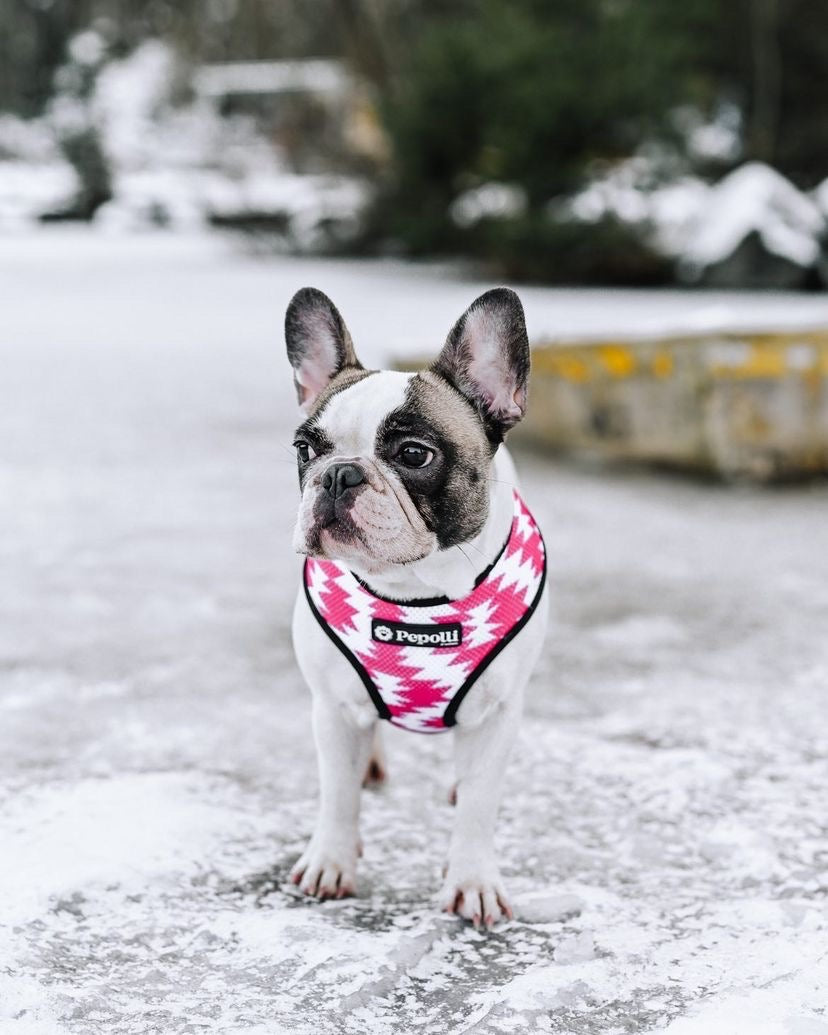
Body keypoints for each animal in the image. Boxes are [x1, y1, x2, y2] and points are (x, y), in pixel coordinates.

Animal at [285, 285, 550, 931]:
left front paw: (472, 880)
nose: (338, 475)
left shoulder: (497, 713)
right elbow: (336, 792)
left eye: (413, 454)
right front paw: (331, 859)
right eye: (305, 449)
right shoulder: (331, 708)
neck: (414, 593)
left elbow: (479, 804)